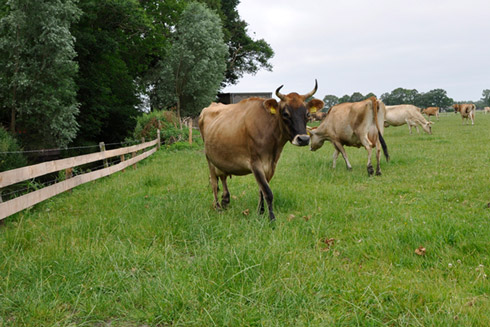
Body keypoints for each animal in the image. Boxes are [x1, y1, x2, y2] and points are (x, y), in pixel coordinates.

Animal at [197, 80, 324, 222]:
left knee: (223, 177)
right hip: (209, 158)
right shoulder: (255, 163)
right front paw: (271, 219)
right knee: (214, 182)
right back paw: (218, 207)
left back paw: (225, 200)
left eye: (307, 114)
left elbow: (262, 190)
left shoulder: (270, 165)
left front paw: (260, 212)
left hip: (221, 158)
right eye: (285, 114)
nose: (303, 139)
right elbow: (268, 192)